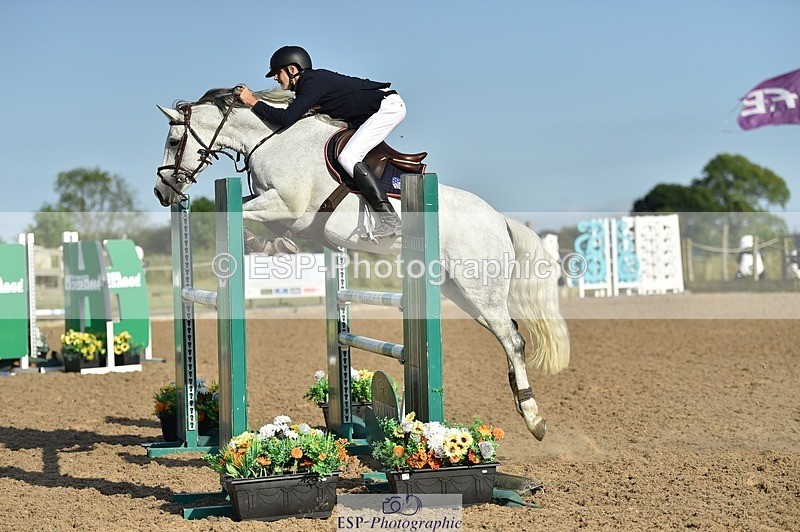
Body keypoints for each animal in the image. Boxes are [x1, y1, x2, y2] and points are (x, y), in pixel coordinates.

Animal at [155, 87, 570, 441]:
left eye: (174, 142)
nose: (163, 193)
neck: (273, 140)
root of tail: (499, 219)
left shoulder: (286, 204)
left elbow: (246, 214)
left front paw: (261, 242)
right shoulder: (286, 212)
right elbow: (265, 224)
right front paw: (273, 244)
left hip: (479, 286)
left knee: (512, 338)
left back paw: (533, 417)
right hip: (460, 290)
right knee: (508, 334)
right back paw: (521, 403)